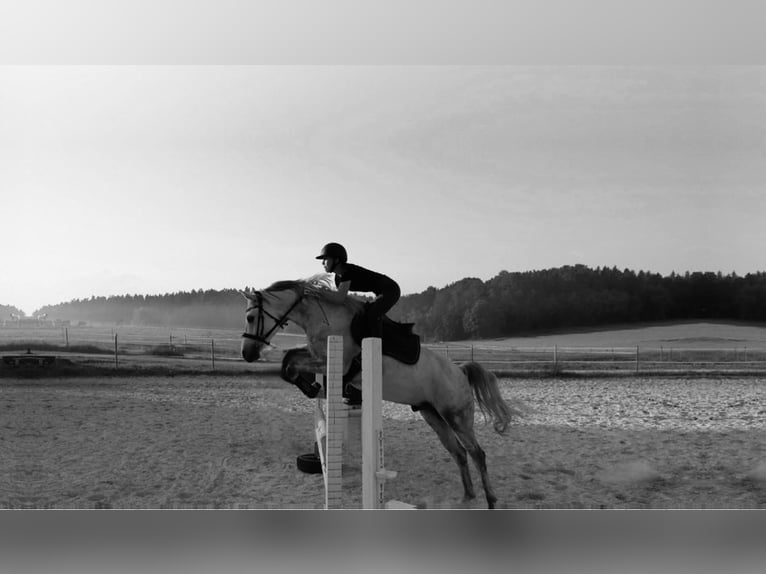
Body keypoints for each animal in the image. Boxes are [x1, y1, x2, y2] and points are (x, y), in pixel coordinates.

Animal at [242, 276, 528, 510]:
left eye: (250, 318)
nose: (248, 354)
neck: (324, 317)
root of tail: (459, 371)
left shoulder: (334, 362)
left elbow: (290, 363)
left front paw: (311, 387)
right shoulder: (316, 355)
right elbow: (288, 360)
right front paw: (311, 386)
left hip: (456, 416)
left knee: (477, 453)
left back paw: (490, 500)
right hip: (432, 415)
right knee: (458, 452)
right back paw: (467, 496)